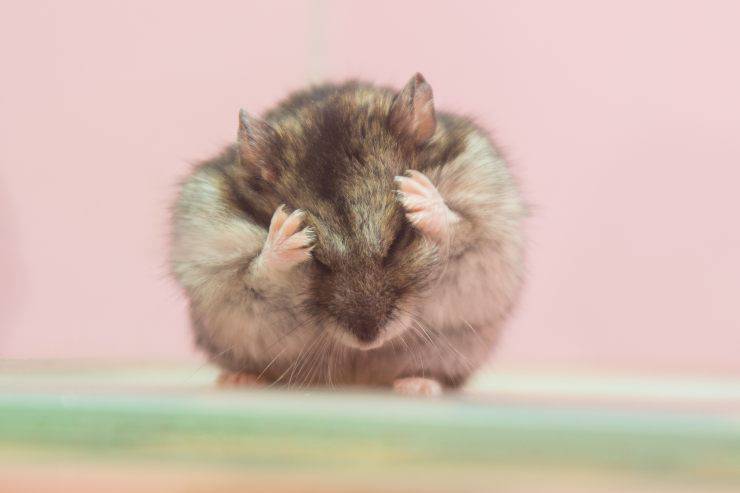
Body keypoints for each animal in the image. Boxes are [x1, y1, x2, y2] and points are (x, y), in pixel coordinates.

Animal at [170, 73, 526, 396]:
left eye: (399, 239)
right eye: (316, 260)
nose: (368, 340)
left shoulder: (486, 230)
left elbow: (461, 227)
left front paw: (417, 192)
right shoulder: (222, 269)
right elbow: (255, 272)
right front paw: (289, 232)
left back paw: (417, 385)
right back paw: (240, 380)